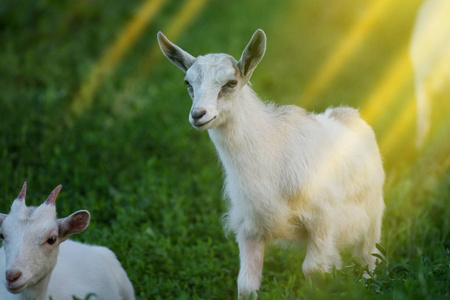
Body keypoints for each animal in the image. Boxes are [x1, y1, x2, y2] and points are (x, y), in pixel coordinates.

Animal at [157, 29, 384, 298]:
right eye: (188, 83)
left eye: (231, 83)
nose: (198, 114)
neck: (271, 158)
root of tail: (348, 114)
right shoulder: (250, 228)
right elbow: (246, 285)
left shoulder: (322, 219)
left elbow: (313, 269)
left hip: (372, 213)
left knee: (369, 257)